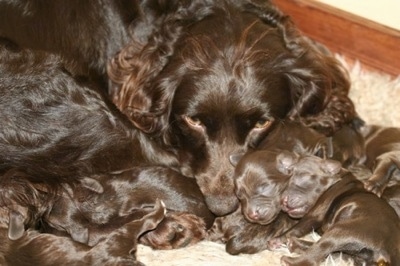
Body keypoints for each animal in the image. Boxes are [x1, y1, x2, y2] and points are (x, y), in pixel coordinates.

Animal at [268, 154, 400, 266]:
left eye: (305, 175)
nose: (283, 200)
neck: (337, 178)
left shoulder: (314, 215)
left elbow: (296, 228)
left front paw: (276, 240)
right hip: (356, 255)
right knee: (332, 252)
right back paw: (295, 244)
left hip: (342, 230)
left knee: (317, 253)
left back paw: (289, 259)